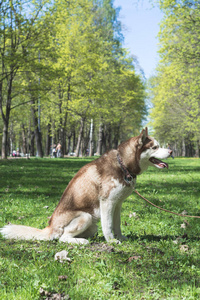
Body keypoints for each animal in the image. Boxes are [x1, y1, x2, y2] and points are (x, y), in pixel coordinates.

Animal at [0, 127, 172, 245]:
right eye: (155, 147)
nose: (171, 151)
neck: (123, 165)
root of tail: (49, 227)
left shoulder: (117, 204)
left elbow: (116, 224)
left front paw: (121, 237)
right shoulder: (107, 203)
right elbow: (108, 225)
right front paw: (111, 241)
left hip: (92, 224)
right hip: (85, 216)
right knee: (62, 238)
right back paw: (80, 242)